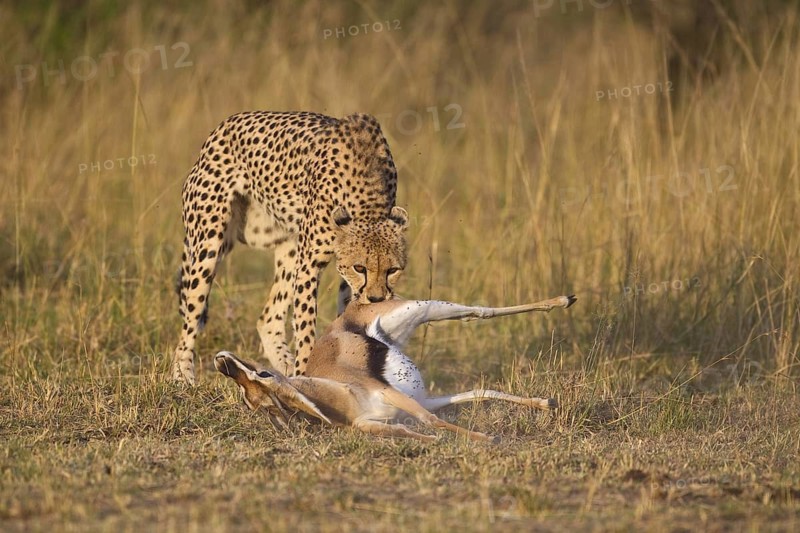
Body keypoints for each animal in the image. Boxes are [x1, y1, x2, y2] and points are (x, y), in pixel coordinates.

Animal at [172, 111, 408, 385]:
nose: (377, 299)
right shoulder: (310, 264)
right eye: (360, 268)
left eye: (392, 270)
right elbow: (306, 329)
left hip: (289, 245)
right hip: (209, 243)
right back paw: (181, 375)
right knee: (191, 317)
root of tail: (222, 127)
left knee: (268, 318)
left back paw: (284, 366)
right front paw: (306, 373)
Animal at [215, 294, 576, 443]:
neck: (348, 402)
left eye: (262, 374)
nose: (222, 361)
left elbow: (433, 421)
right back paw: (548, 401)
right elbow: (475, 394)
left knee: (477, 310)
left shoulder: (393, 394)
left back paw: (564, 300)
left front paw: (489, 438)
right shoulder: (413, 404)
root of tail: (348, 314)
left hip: (419, 308)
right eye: (249, 400)